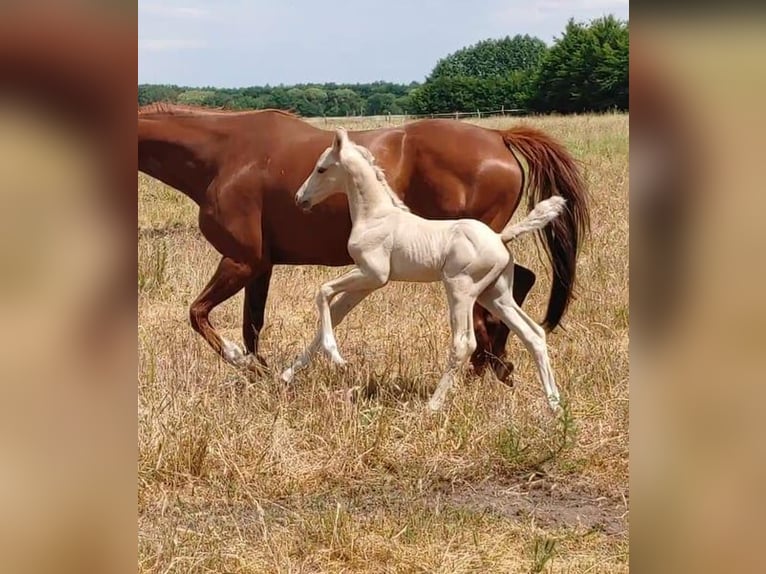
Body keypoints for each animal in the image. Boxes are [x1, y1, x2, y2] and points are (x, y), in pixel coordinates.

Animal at [138, 103, 590, 383]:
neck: (225, 154)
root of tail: (499, 137)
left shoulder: (240, 261)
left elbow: (198, 314)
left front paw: (240, 361)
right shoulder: (260, 265)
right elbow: (252, 324)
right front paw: (260, 370)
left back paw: (485, 364)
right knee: (520, 282)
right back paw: (495, 362)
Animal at [280, 129, 566, 412]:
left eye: (321, 168)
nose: (299, 198)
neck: (375, 216)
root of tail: (500, 237)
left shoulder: (373, 274)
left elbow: (322, 291)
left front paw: (336, 356)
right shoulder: (366, 282)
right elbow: (335, 310)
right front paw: (287, 374)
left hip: (461, 290)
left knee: (464, 342)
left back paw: (432, 406)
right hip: (496, 295)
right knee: (533, 334)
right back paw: (554, 405)